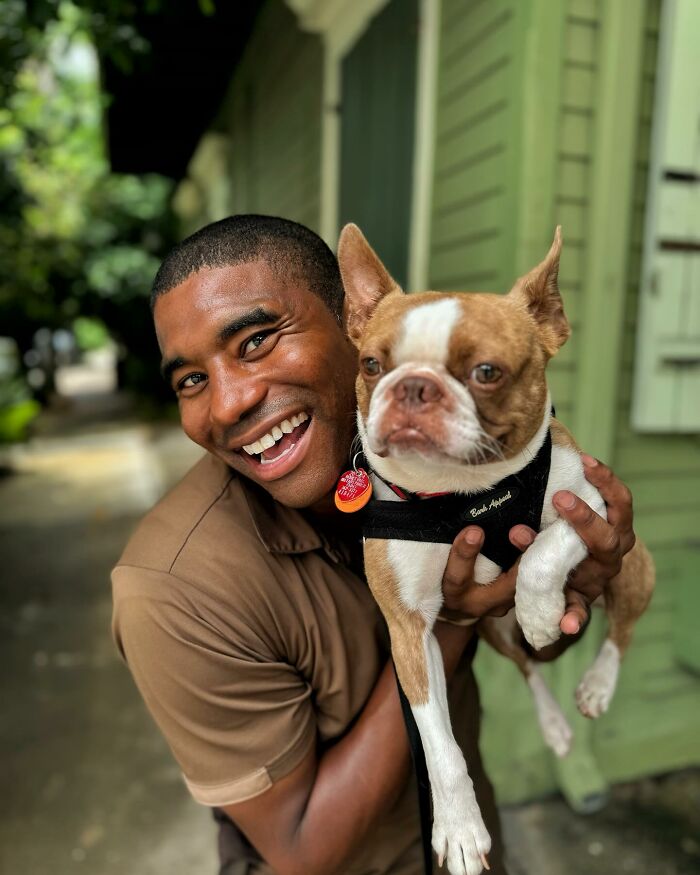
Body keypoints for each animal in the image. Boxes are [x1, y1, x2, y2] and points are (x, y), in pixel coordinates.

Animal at [336, 224, 652, 875]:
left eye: (486, 371)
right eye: (372, 364)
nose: (413, 385)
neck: (462, 498)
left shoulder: (593, 503)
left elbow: (545, 547)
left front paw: (540, 609)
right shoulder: (410, 632)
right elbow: (438, 740)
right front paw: (458, 827)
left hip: (632, 563)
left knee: (621, 629)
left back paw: (595, 686)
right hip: (493, 630)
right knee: (528, 667)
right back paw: (554, 725)